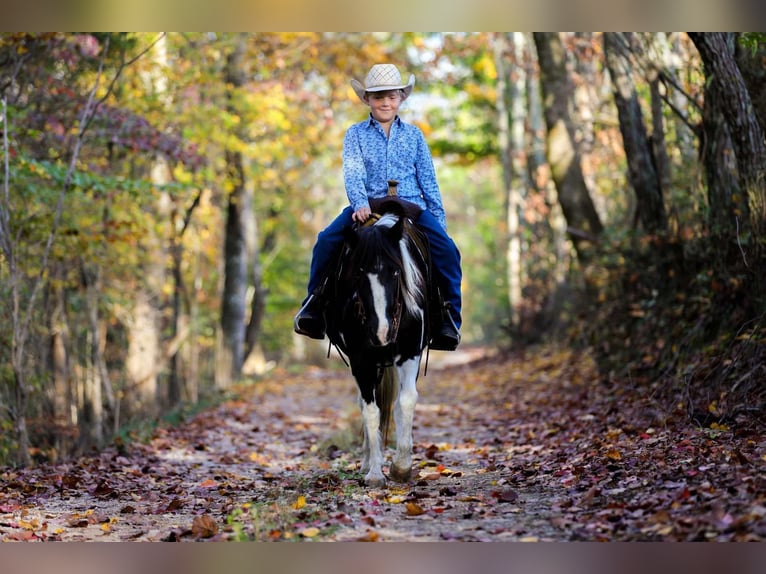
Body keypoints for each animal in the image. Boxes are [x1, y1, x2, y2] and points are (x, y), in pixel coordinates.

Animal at [326, 199, 432, 490]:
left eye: (395, 271)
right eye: (358, 274)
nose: (381, 333)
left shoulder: (410, 352)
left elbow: (405, 401)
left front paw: (402, 467)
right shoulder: (361, 360)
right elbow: (372, 411)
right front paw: (375, 472)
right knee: (365, 405)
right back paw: (366, 461)